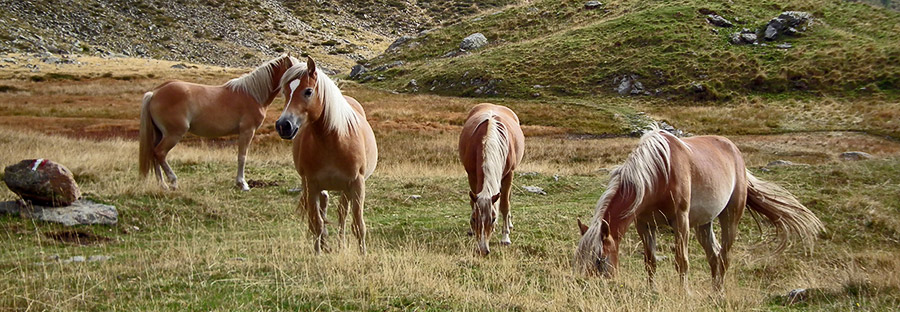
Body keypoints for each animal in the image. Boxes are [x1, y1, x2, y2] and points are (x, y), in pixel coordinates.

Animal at [138, 54, 298, 190]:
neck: (253, 95)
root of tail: (154, 93)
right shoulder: (247, 131)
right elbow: (242, 157)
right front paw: (242, 184)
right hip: (173, 134)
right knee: (160, 153)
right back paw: (173, 181)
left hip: (159, 133)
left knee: (154, 153)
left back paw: (162, 185)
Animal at [272, 57, 374, 255]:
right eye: (285, 91)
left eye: (308, 91)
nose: (283, 125)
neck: (334, 141)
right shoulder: (311, 184)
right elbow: (316, 222)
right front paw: (317, 252)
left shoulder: (357, 184)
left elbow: (358, 224)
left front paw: (363, 253)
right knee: (324, 208)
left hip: (346, 189)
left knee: (342, 213)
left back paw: (340, 243)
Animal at [458, 103, 528, 255]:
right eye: (474, 218)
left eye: (494, 218)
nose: (483, 250)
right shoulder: (471, 175)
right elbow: (472, 202)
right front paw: (472, 230)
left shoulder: (508, 175)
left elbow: (505, 205)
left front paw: (505, 237)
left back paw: (510, 224)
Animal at [576, 125, 824, 292]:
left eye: (599, 260)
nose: (589, 288)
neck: (658, 174)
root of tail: (735, 151)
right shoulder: (645, 224)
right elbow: (650, 261)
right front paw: (652, 290)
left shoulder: (681, 221)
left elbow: (681, 261)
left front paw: (683, 292)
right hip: (704, 224)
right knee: (714, 256)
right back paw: (714, 291)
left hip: (730, 217)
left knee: (724, 256)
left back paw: (719, 293)